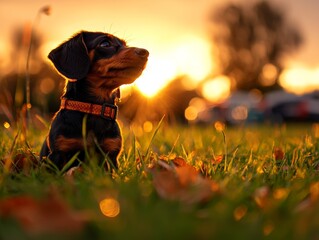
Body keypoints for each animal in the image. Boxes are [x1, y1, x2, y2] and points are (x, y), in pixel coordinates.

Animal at [40, 31, 149, 171]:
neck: (93, 107)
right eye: (105, 44)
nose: (145, 52)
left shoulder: (111, 155)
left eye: (125, 45)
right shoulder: (58, 153)